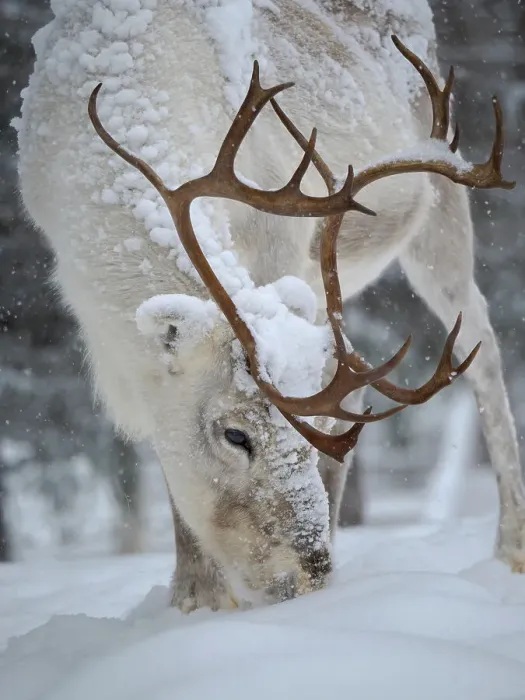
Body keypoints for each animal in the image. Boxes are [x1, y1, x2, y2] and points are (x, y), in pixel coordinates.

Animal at [14, 0, 525, 612]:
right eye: (236, 435)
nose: (308, 576)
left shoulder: (280, 254)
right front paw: (193, 598)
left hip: (442, 206)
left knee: (483, 351)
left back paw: (510, 547)